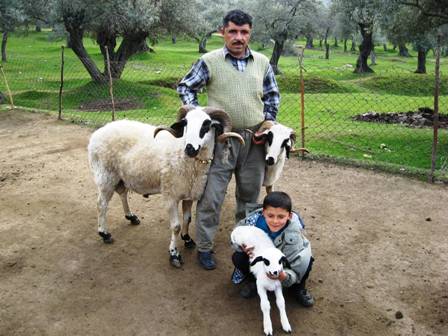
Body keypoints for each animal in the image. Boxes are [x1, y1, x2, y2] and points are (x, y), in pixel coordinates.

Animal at [86, 105, 243, 268]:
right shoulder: (170, 195)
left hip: (120, 176)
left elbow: (187, 219)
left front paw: (187, 239)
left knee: (122, 193)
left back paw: (131, 217)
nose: (190, 148)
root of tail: (97, 133)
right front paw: (174, 254)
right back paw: (104, 233)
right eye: (185, 123)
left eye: (206, 124)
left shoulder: (189, 193)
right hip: (105, 175)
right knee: (101, 204)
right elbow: (176, 226)